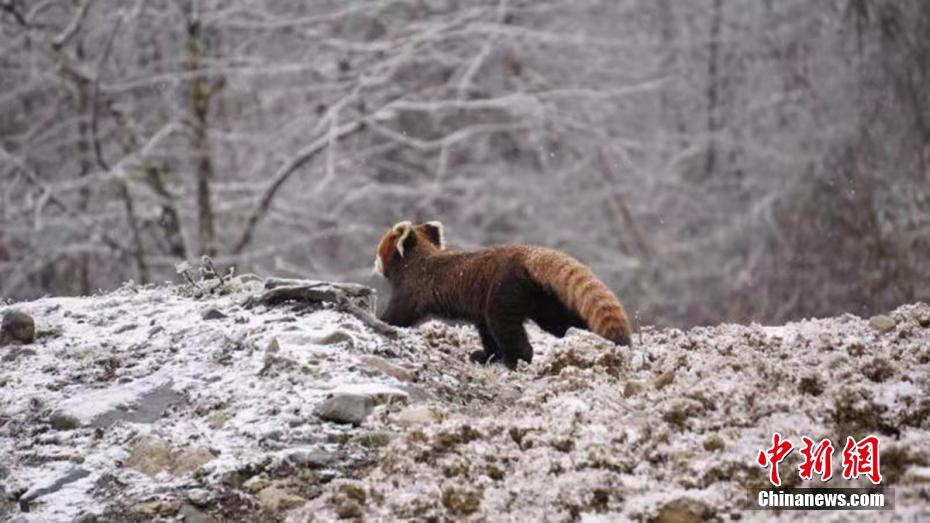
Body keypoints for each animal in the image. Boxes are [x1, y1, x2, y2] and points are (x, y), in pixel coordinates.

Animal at [370, 221, 632, 368]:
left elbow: (399, 314)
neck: (417, 260)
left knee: (505, 326)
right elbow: (484, 330)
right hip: (541, 299)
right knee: (560, 321)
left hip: (505, 291)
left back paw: (517, 360)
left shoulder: (412, 290)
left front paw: (382, 322)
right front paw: (487, 355)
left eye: (378, 252)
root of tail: (527, 254)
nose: (374, 265)